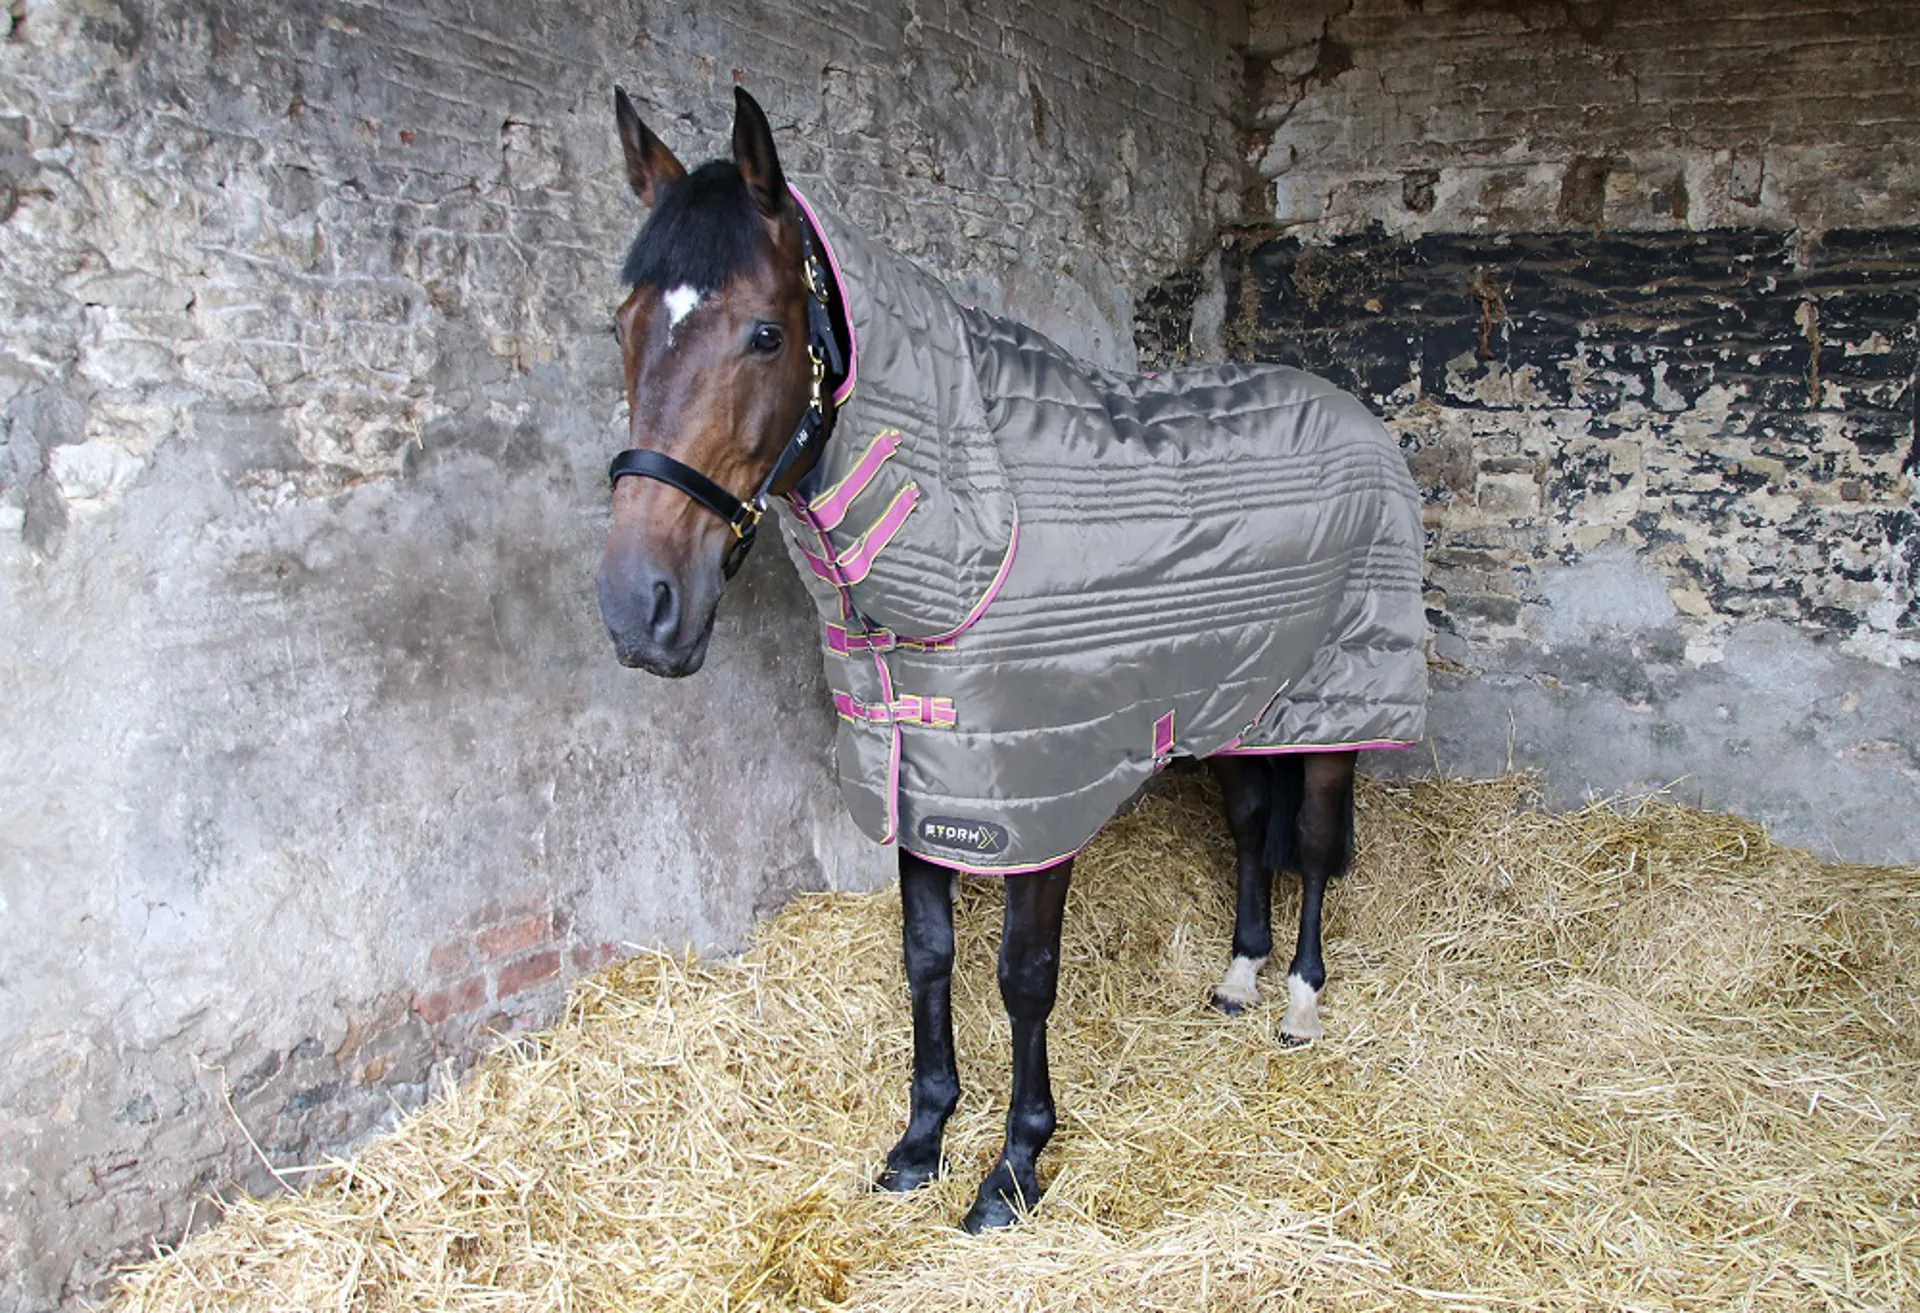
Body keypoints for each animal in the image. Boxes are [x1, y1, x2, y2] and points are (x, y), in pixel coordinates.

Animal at [595, 86, 1428, 1232]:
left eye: (765, 333)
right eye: (623, 326)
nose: (641, 609)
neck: (975, 519)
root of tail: (1357, 416)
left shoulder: (1031, 809)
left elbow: (1022, 975)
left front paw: (1015, 1165)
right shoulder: (920, 786)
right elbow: (927, 958)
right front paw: (921, 1138)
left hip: (1336, 705)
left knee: (1305, 838)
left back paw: (1299, 999)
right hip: (1240, 703)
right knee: (1253, 829)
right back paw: (1239, 976)